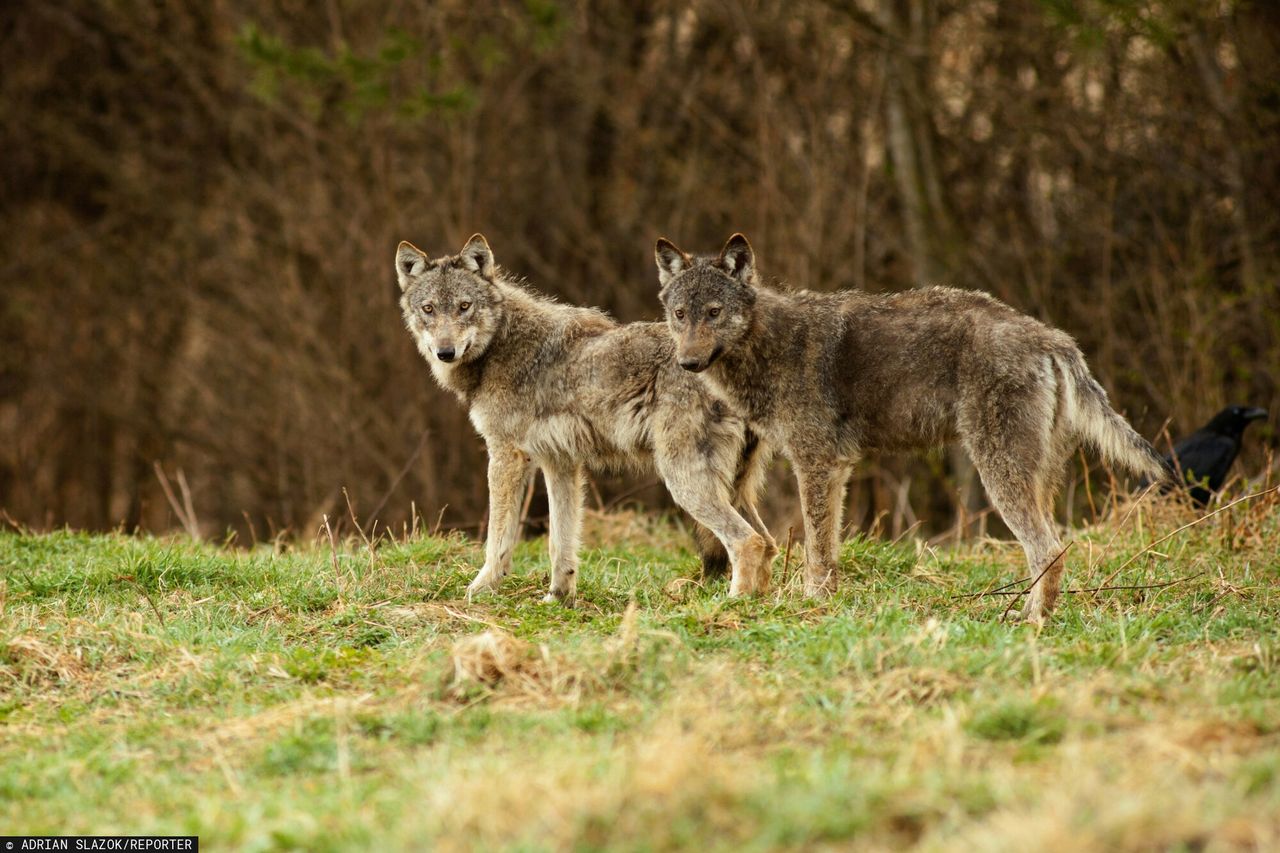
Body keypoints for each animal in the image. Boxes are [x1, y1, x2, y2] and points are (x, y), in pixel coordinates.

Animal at [396, 233, 778, 596]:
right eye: (429, 309)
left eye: (464, 307)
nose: (445, 352)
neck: (501, 344)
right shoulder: (559, 462)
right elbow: (560, 542)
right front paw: (558, 597)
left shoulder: (507, 456)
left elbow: (498, 538)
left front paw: (480, 590)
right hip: (730, 487)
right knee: (770, 543)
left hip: (683, 482)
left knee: (748, 541)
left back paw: (733, 603)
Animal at [655, 233, 1167, 617]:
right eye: (680, 315)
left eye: (714, 312)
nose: (687, 363)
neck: (767, 343)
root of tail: (1053, 338)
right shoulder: (835, 469)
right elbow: (828, 550)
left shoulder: (817, 464)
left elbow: (816, 551)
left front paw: (811, 604)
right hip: (1036, 479)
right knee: (1051, 549)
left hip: (1000, 476)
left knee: (1049, 549)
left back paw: (1028, 622)